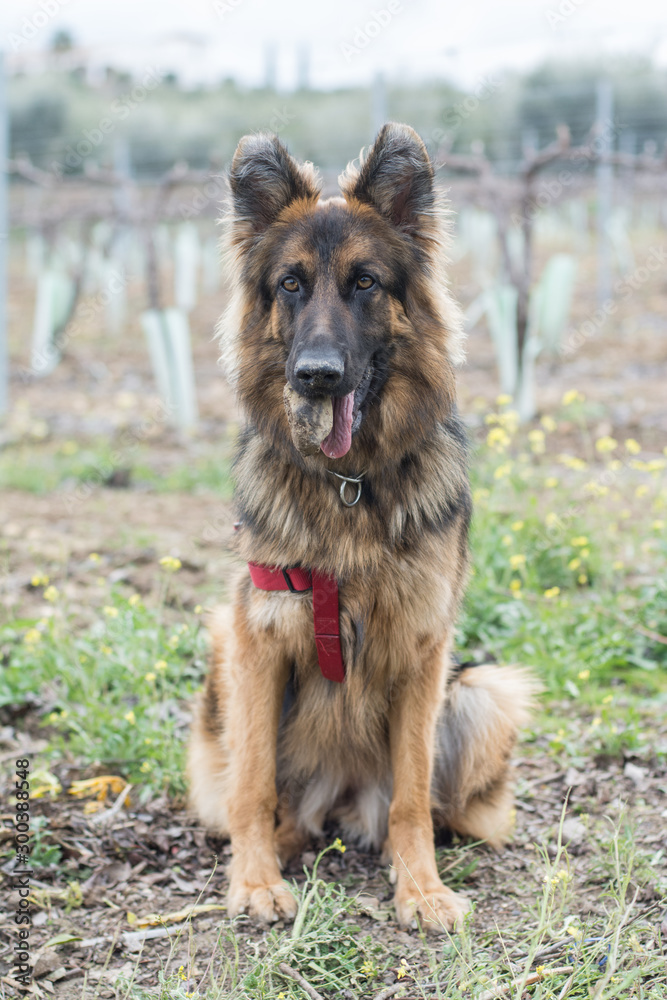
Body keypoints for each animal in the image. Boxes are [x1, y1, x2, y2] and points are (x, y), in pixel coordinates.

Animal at [188, 123, 536, 928]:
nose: (316, 376)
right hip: (222, 651)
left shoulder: (423, 647)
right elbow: (253, 783)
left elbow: (411, 795)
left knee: (435, 804)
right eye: (290, 284)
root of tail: (339, 804)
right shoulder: (256, 635)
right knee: (270, 800)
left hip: (484, 693)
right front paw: (253, 880)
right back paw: (278, 844)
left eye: (365, 283)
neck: (349, 487)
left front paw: (422, 888)